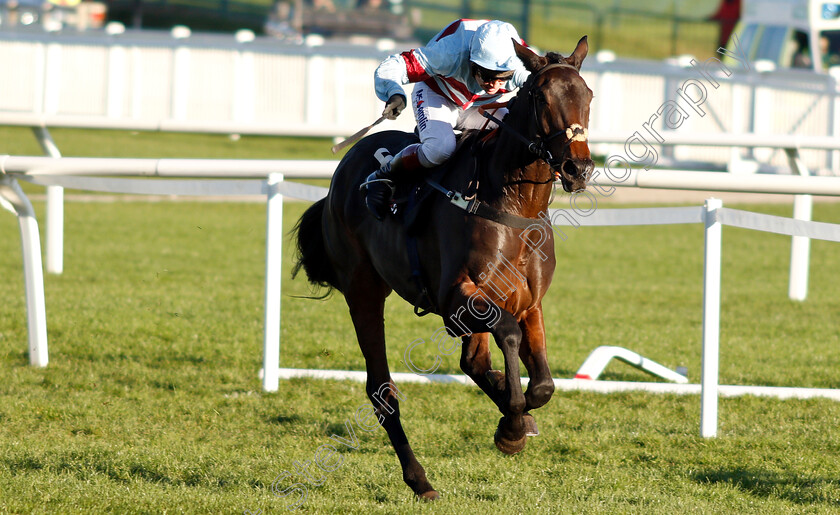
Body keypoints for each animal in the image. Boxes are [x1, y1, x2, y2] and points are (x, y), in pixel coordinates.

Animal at [292, 38, 592, 502]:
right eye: (541, 97)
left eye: (588, 96)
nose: (579, 168)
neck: (513, 208)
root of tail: (345, 169)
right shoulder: (456, 299)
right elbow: (508, 337)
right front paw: (512, 427)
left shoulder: (528, 302)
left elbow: (542, 383)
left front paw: (518, 416)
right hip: (363, 291)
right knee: (382, 391)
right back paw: (420, 480)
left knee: (474, 362)